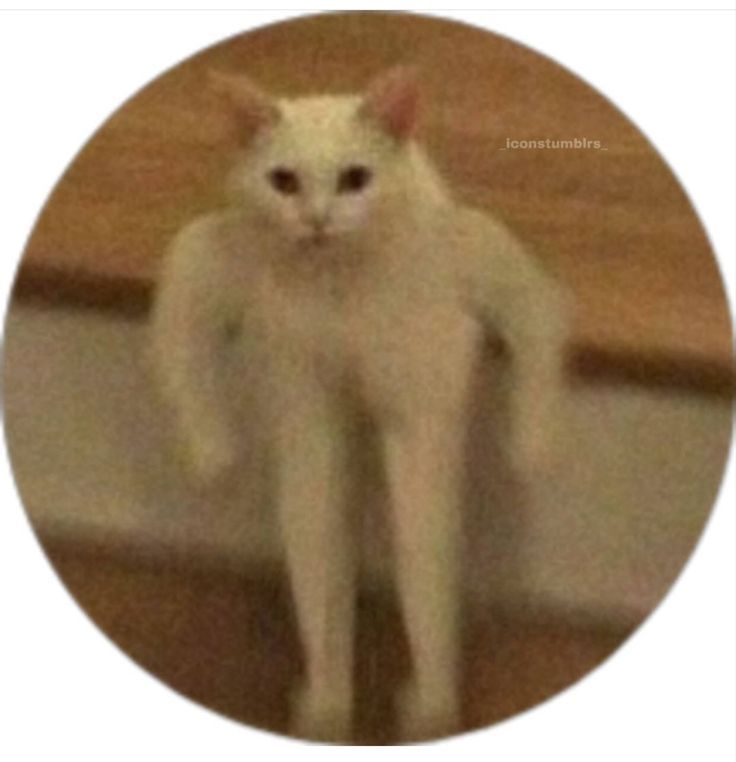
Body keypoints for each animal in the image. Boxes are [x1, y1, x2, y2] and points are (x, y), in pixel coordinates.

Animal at [151, 67, 568, 744]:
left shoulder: (429, 399)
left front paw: (431, 708)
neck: (339, 293)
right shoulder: (224, 285)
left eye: (355, 179)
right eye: (284, 181)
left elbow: (424, 570)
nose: (318, 219)